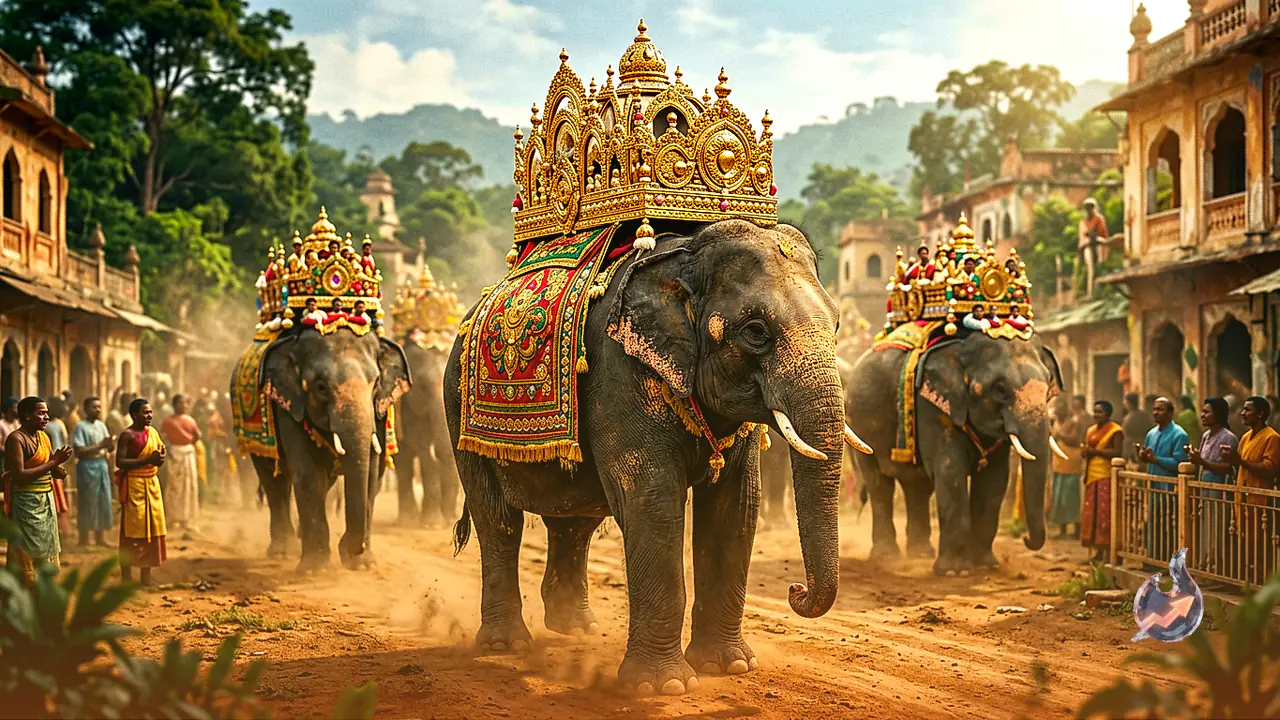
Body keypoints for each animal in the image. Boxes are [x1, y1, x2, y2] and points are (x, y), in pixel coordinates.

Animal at [244, 327, 410, 572]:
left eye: (376, 383)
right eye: (321, 387)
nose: (349, 548)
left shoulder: (380, 411)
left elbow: (372, 474)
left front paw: (362, 565)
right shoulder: (289, 406)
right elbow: (307, 475)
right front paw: (314, 569)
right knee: (274, 483)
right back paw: (283, 552)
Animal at [395, 339, 460, 528]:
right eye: (423, 387)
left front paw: (448, 520)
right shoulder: (408, 406)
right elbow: (420, 444)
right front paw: (434, 523)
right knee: (404, 463)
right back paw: (407, 519)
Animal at [443, 219, 871, 695]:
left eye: (837, 324)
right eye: (756, 331)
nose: (795, 590)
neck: (684, 255)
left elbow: (735, 506)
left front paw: (730, 667)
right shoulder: (620, 370)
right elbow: (653, 498)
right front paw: (663, 687)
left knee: (573, 521)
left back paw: (576, 629)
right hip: (458, 411)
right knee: (498, 520)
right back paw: (507, 644)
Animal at [846, 331, 1061, 576]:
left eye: (1048, 387)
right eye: (999, 389)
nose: (1025, 538)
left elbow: (994, 479)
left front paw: (986, 566)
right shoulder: (930, 406)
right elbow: (951, 470)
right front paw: (955, 572)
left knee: (918, 487)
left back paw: (920, 554)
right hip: (859, 426)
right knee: (879, 484)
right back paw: (886, 557)